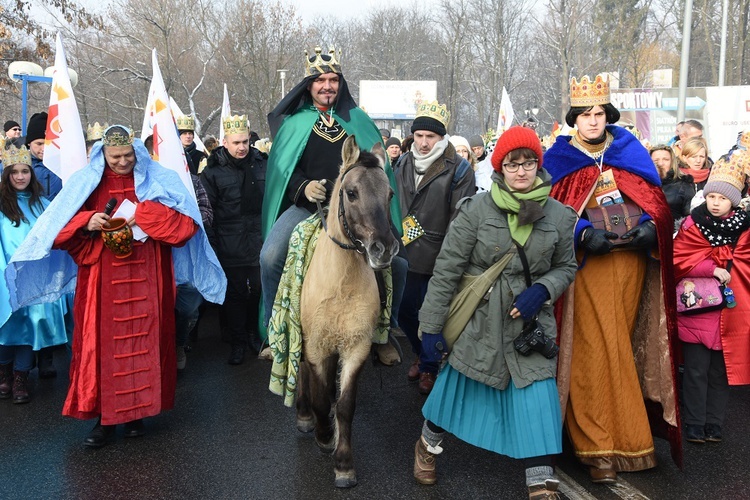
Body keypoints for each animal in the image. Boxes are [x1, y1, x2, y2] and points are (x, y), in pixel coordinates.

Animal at [296, 135, 402, 486]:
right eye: (351, 192)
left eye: (390, 194)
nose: (384, 249)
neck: (340, 284)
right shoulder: (316, 345)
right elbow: (319, 395)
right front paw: (323, 435)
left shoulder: (356, 346)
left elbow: (345, 404)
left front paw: (343, 462)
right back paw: (305, 416)